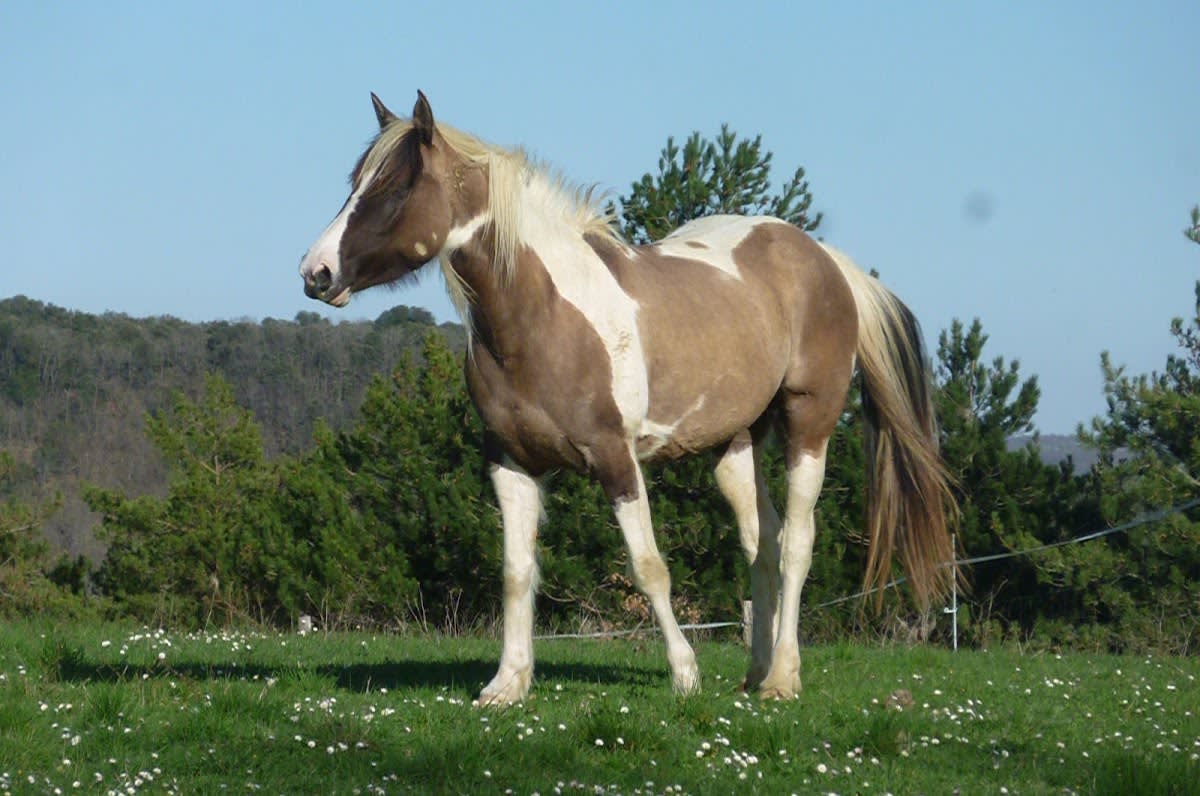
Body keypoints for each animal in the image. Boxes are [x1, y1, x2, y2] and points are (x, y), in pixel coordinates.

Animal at [299, 91, 955, 705]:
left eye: (395, 186)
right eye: (355, 182)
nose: (315, 272)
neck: (543, 317)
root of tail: (827, 263)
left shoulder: (616, 459)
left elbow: (649, 568)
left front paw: (685, 675)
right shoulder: (510, 463)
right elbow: (516, 573)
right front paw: (507, 684)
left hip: (808, 423)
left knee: (796, 544)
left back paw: (782, 678)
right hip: (735, 446)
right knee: (761, 546)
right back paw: (754, 673)